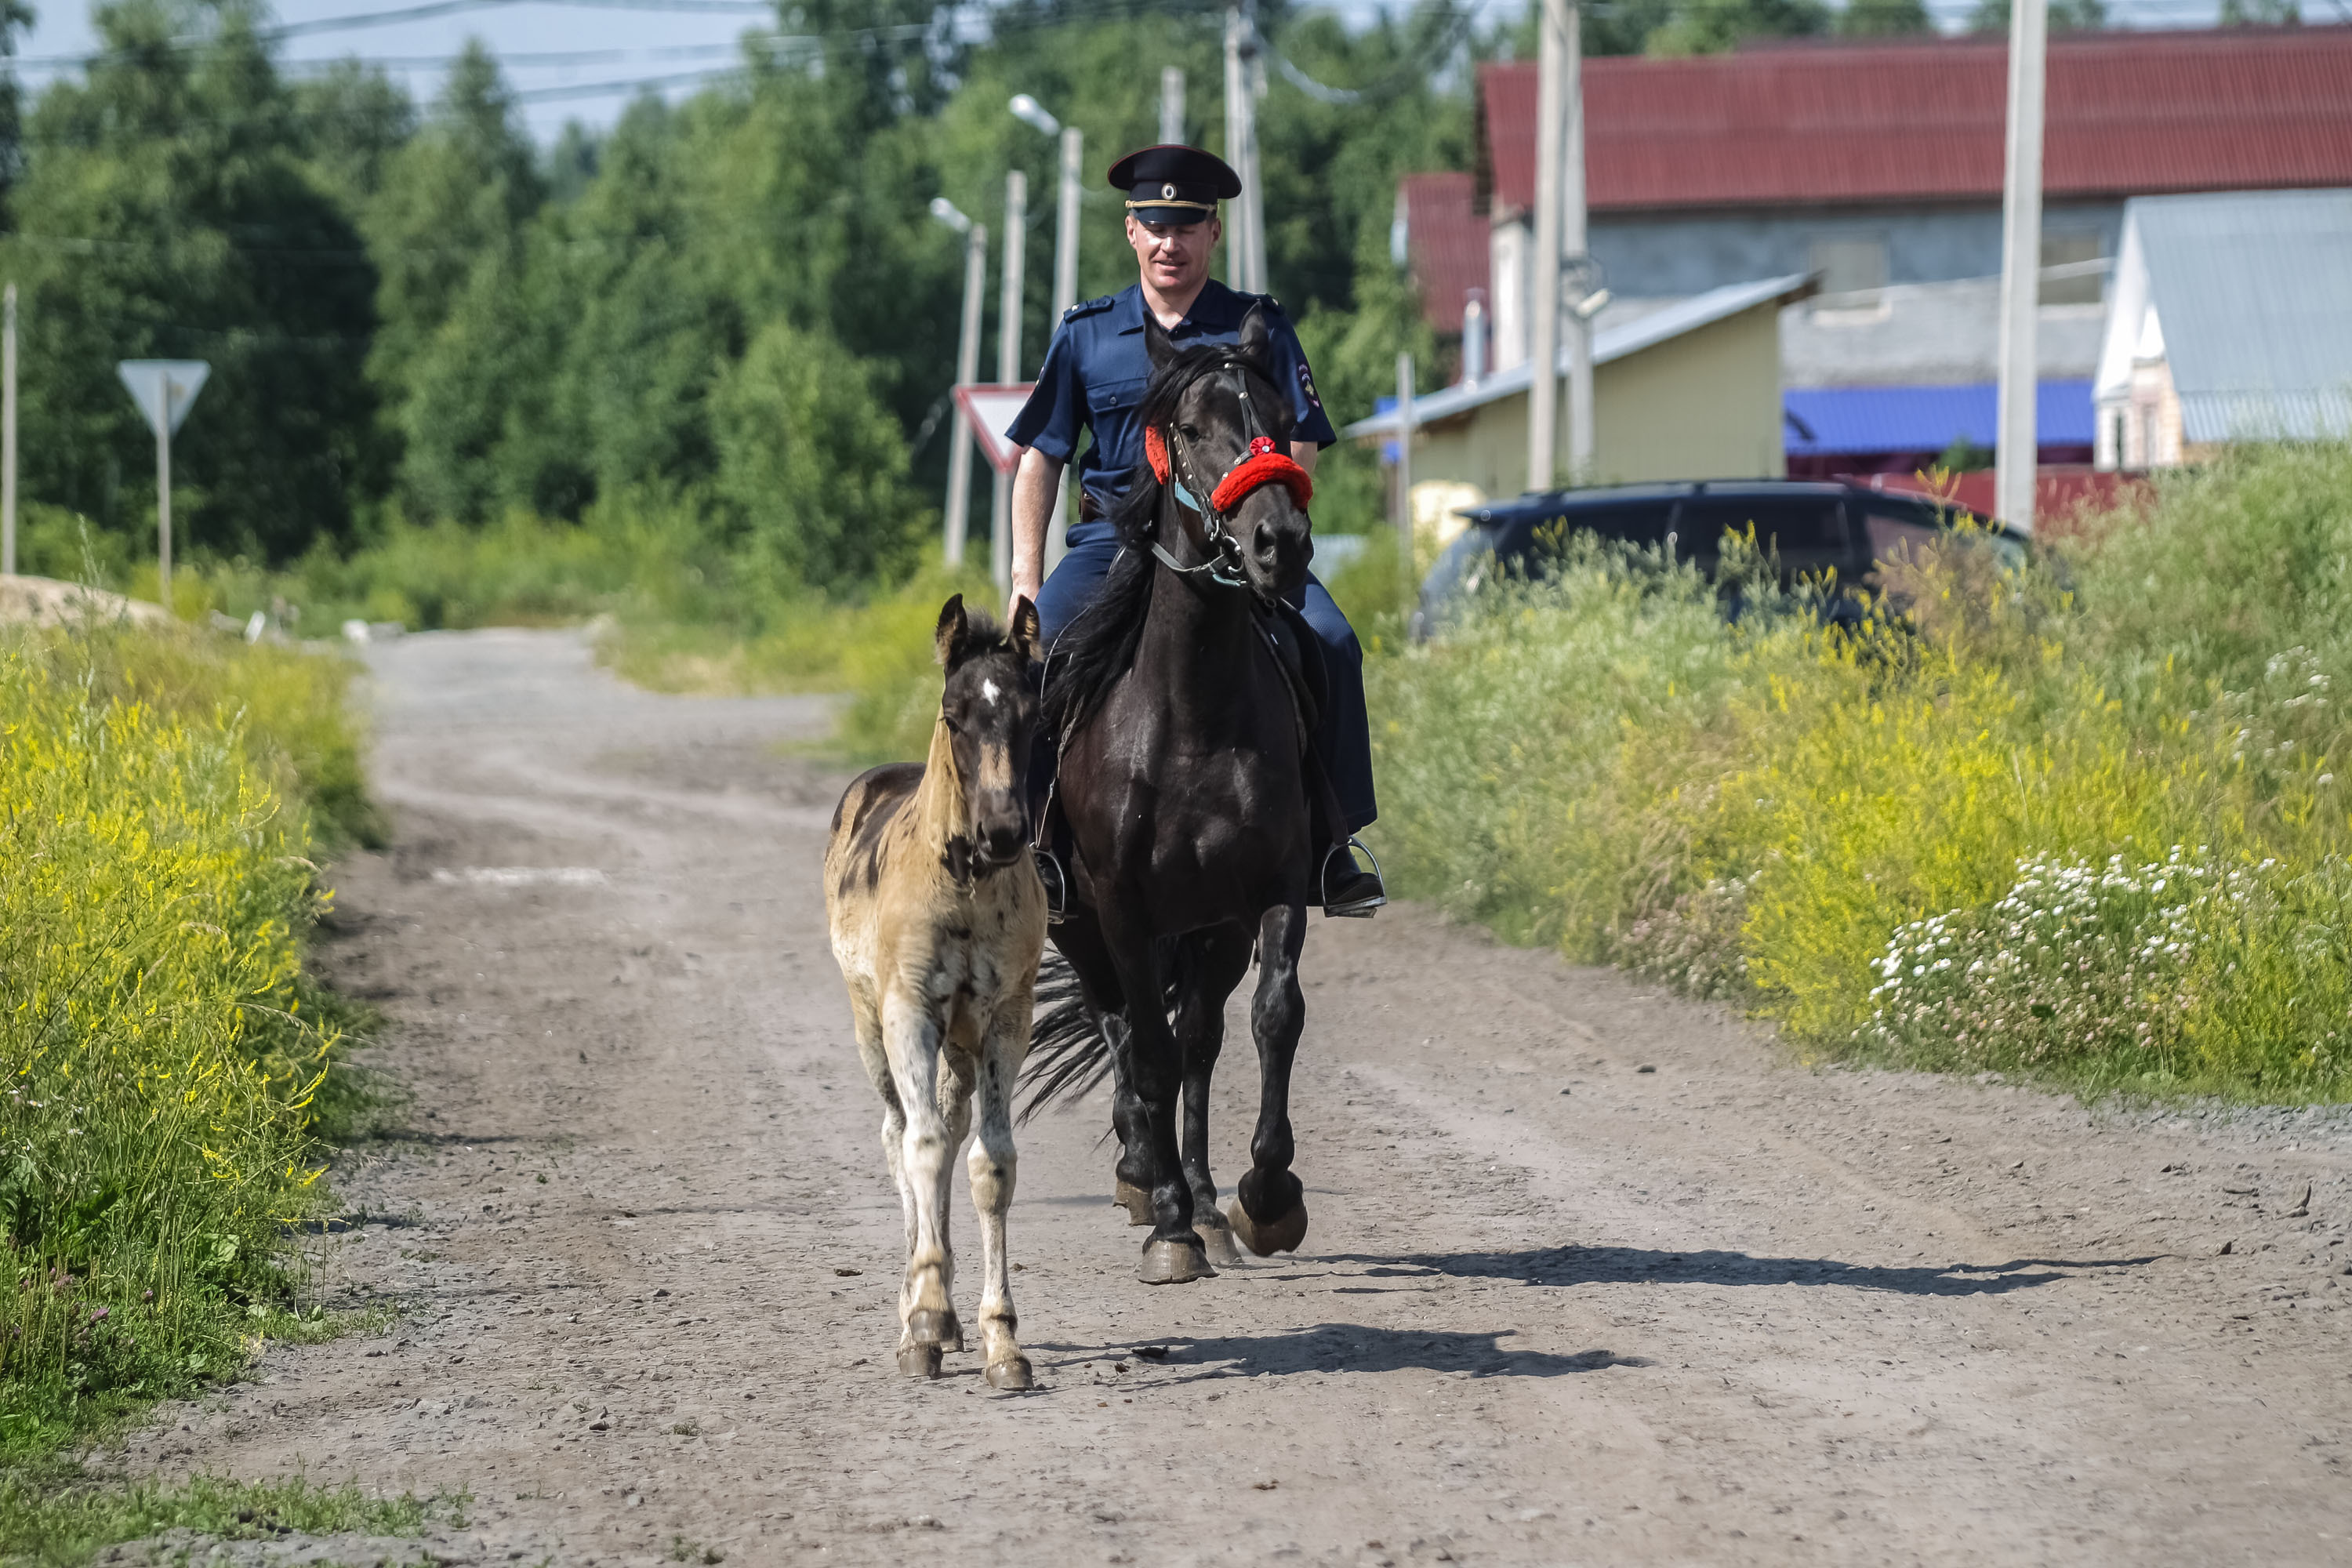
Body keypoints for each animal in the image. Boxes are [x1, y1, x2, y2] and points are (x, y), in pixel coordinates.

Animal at [828, 592, 1049, 1382]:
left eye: (1031, 712)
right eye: (954, 714)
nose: (1004, 831)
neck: (964, 886)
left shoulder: (1007, 1017)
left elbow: (990, 1162)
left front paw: (1001, 1339)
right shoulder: (910, 1011)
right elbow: (921, 1147)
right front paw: (921, 1323)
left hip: (961, 1039)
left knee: (953, 1132)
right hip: (872, 1026)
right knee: (900, 1134)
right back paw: (917, 1307)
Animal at [1016, 303, 1327, 1288]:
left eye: (1279, 415)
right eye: (1189, 428)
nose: (1279, 544)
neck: (1193, 712)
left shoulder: (1268, 888)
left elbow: (1271, 1018)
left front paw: (1266, 1197)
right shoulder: (1120, 906)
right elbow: (1144, 1045)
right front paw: (1167, 1224)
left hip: (1208, 928)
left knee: (1198, 1039)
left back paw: (1200, 1194)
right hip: (1082, 925)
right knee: (1124, 1027)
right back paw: (1145, 1176)